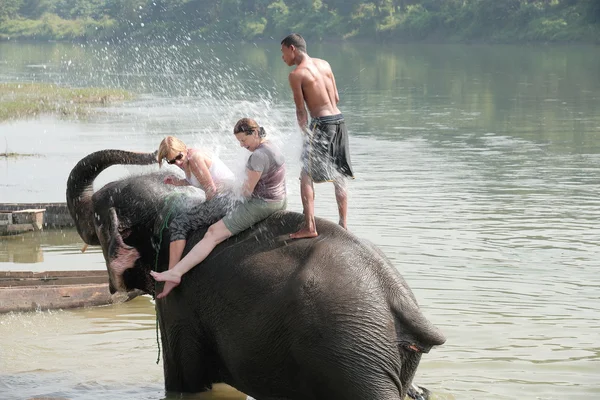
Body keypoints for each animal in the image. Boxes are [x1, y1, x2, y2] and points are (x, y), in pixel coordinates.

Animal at [67, 150, 446, 400]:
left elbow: (183, 381)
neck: (174, 204)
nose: (158, 155)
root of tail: (396, 296)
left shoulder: (178, 303)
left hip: (349, 351)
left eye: (96, 214)